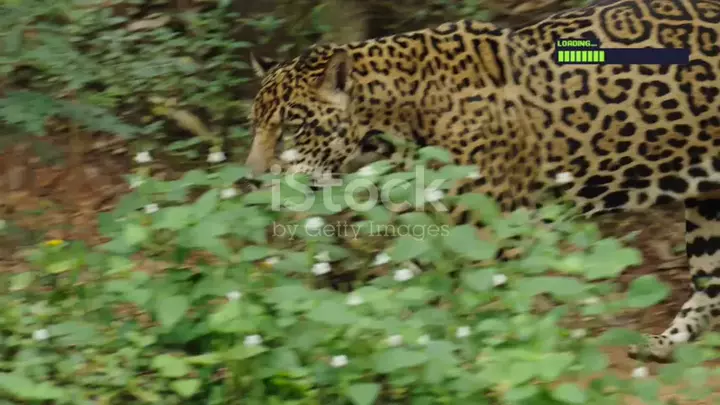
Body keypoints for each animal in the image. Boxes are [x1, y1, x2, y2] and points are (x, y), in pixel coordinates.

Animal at [245, 0, 720, 363]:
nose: (251, 179)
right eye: (255, 127)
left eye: (292, 129)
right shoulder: (430, 236)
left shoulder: (488, 237)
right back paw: (662, 345)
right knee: (711, 287)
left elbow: (479, 316)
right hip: (708, 211)